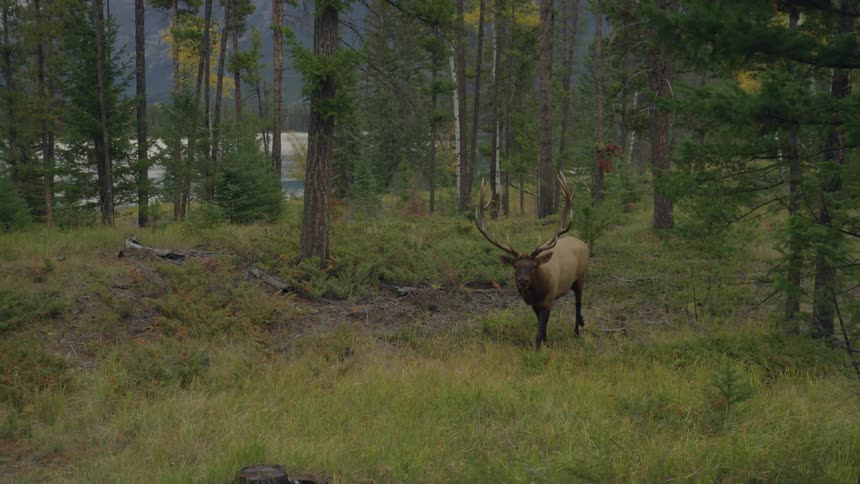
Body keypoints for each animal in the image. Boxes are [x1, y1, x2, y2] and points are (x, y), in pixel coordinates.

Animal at [475, 172, 590, 350]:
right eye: (515, 266)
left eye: (534, 266)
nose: (523, 281)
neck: (536, 292)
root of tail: (584, 243)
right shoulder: (535, 305)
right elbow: (542, 328)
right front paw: (546, 344)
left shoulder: (548, 300)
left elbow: (540, 330)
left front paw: (537, 349)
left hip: (581, 277)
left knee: (578, 304)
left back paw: (578, 331)